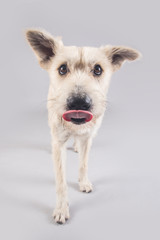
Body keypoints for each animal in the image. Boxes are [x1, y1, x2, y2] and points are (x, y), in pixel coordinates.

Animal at [25, 29, 141, 224]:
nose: (79, 102)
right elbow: (61, 180)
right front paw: (61, 208)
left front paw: (83, 181)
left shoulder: (87, 137)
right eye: (62, 69)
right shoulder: (59, 142)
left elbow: (83, 163)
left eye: (98, 69)